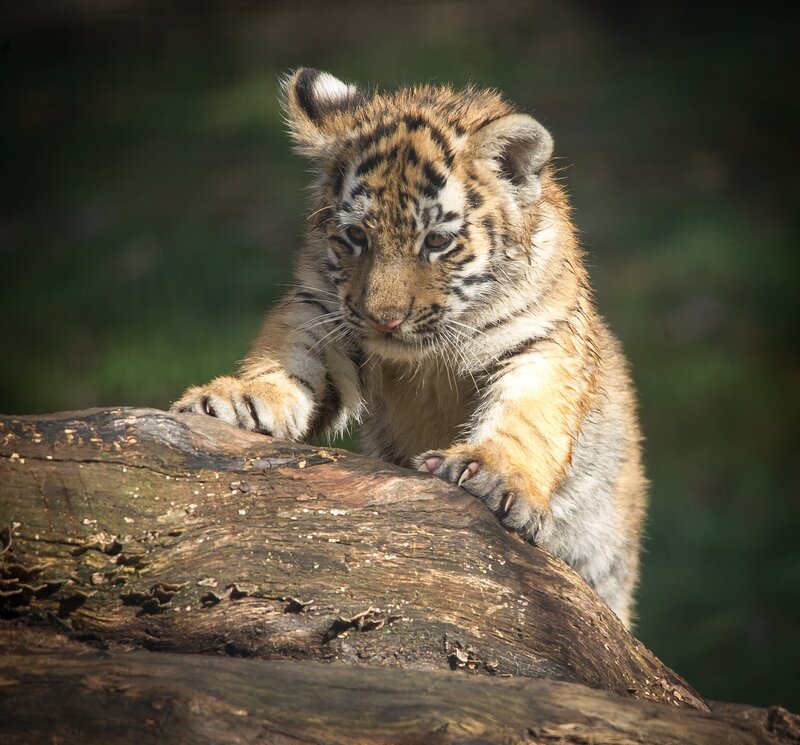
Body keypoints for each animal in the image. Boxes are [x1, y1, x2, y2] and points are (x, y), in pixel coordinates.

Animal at [171, 68, 647, 628]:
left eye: (437, 242)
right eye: (356, 236)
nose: (384, 319)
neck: (428, 356)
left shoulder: (543, 340)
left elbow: (527, 415)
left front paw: (489, 473)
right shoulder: (323, 312)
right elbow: (287, 362)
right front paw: (238, 400)